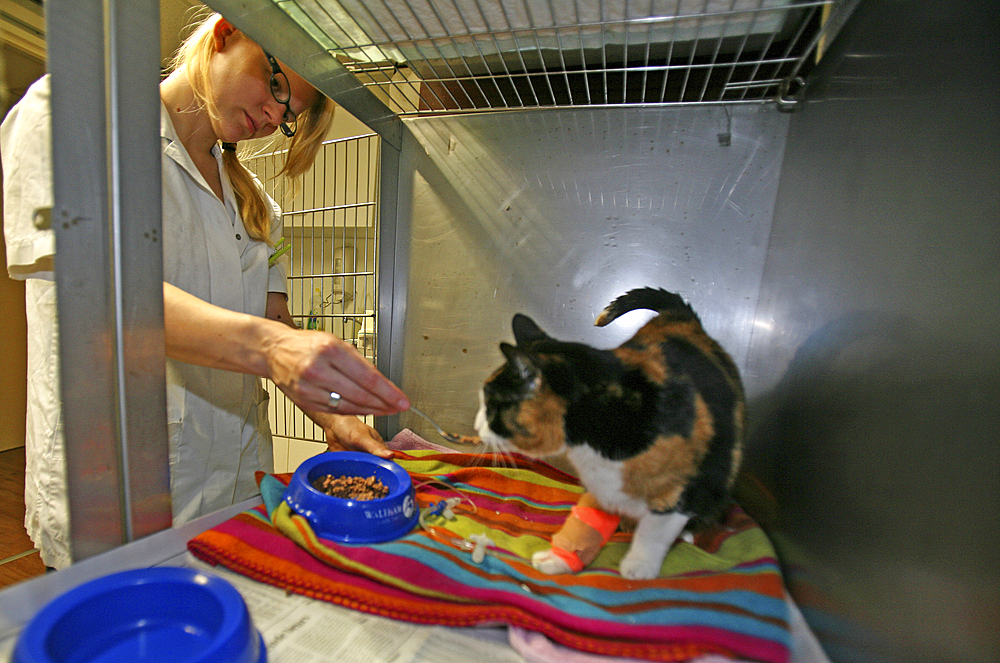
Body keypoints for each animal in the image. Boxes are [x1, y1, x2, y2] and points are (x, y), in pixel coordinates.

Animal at [474, 288, 744, 580]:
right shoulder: (601, 486)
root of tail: (681, 316)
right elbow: (584, 525)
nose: (476, 427)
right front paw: (559, 559)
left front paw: (639, 565)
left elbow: (655, 531)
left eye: (491, 405)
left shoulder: (686, 488)